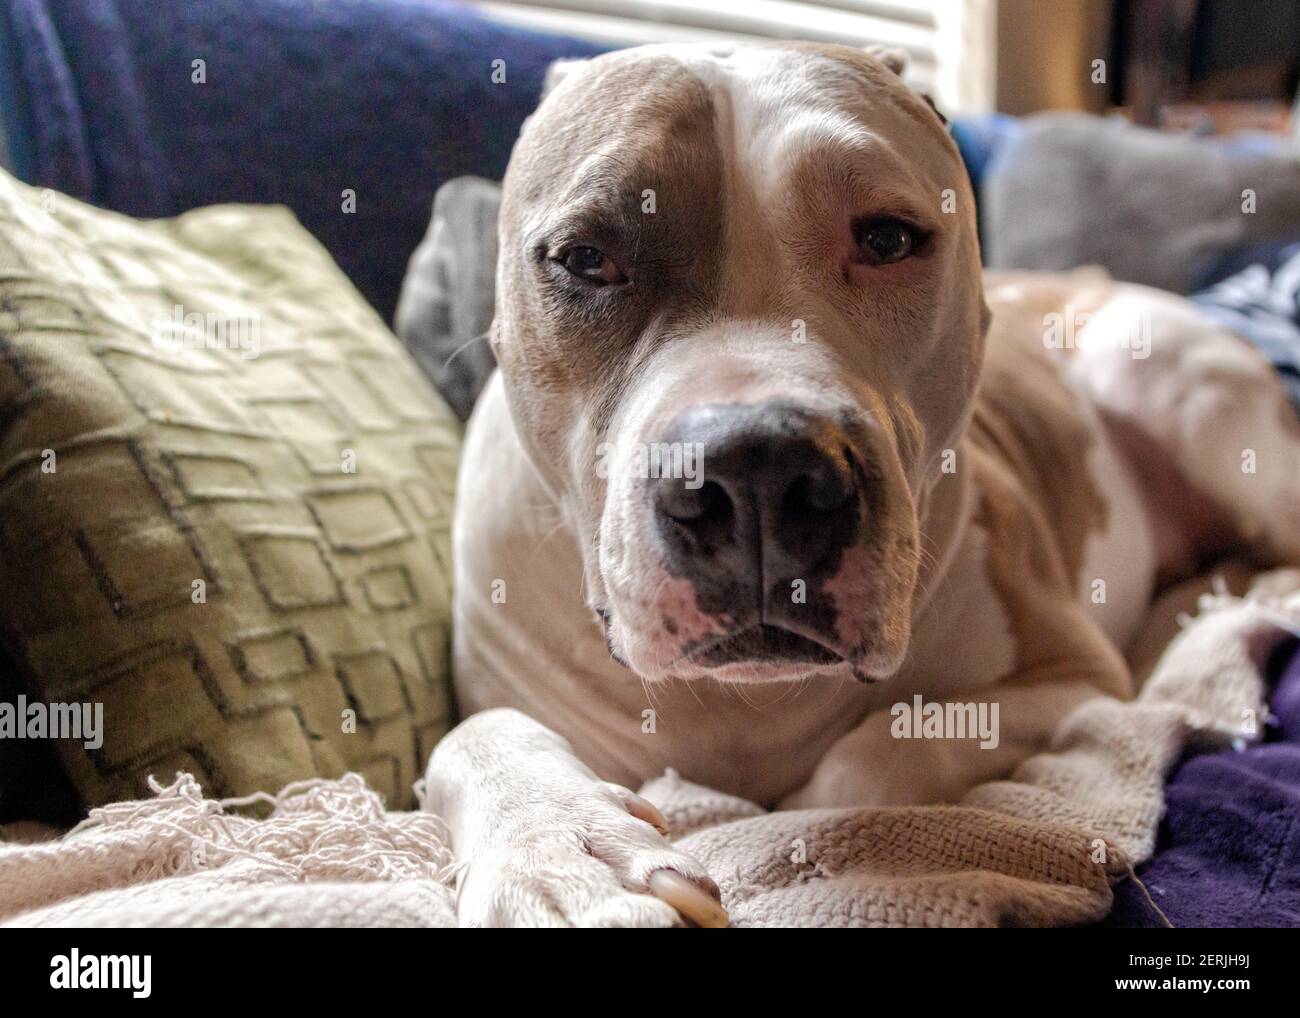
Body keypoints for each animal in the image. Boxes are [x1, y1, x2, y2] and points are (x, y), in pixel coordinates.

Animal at [421, 43, 1300, 925]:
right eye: (585, 257)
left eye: (886, 238)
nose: (758, 474)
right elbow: (467, 738)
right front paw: (558, 854)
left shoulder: (1071, 678)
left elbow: (868, 761)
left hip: (1181, 390)